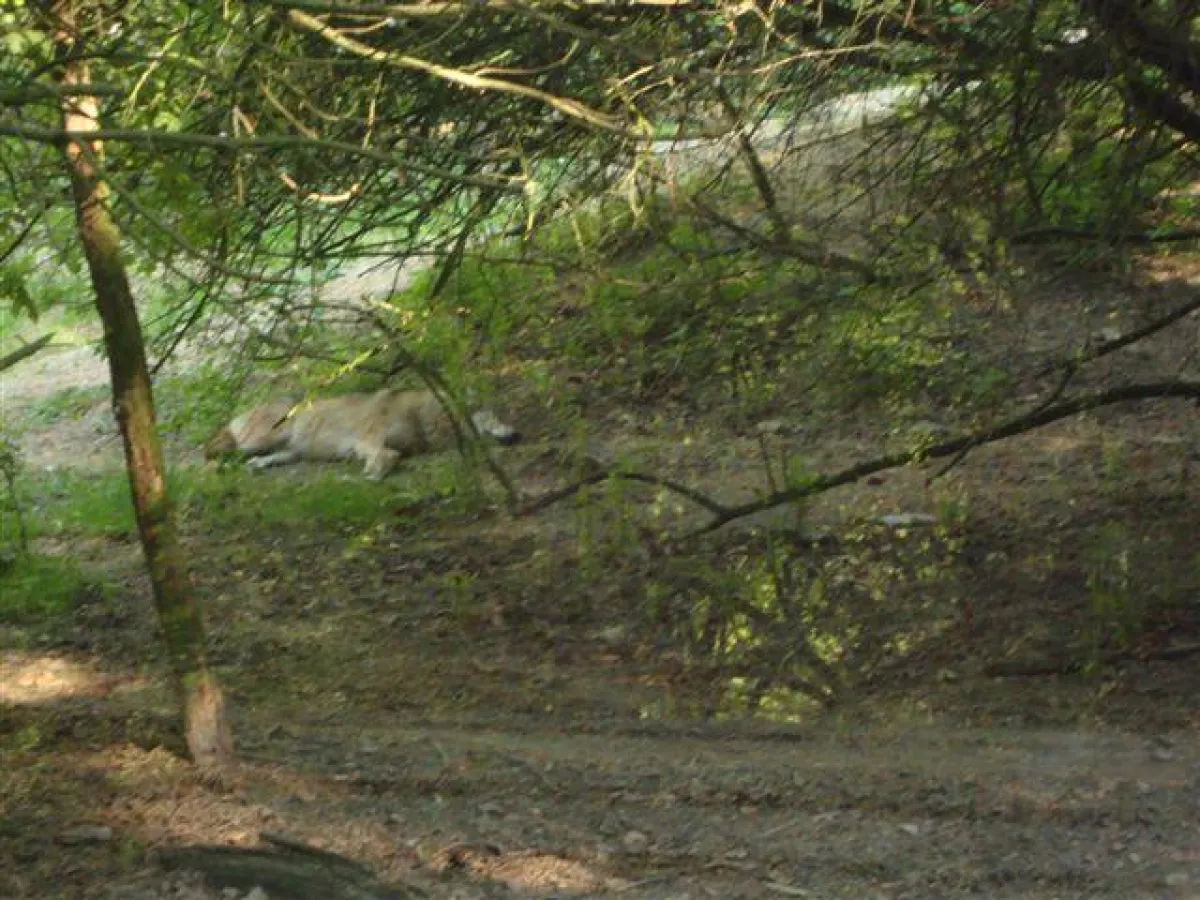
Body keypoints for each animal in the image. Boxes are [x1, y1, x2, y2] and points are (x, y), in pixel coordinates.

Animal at [204, 388, 519, 480]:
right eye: (494, 416)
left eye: (504, 415)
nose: (516, 434)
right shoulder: (366, 439)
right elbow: (386, 455)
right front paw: (372, 474)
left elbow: (391, 455)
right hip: (260, 440)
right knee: (211, 453)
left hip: (290, 452)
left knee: (259, 459)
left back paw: (255, 466)